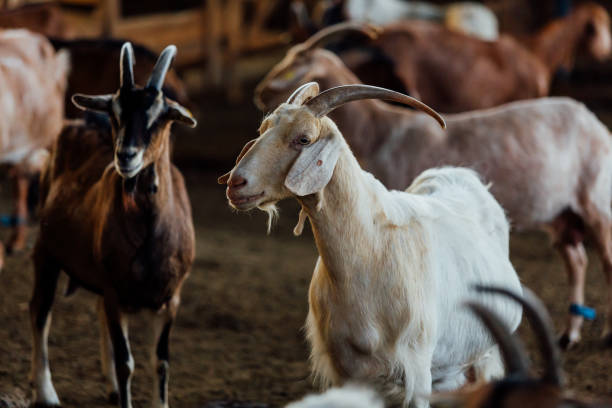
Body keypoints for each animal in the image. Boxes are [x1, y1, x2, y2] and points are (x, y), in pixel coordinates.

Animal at [30, 42, 196, 408]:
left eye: (161, 116)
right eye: (115, 114)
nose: (126, 156)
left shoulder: (172, 298)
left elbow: (161, 362)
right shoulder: (114, 291)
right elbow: (126, 362)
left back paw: (109, 388)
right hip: (46, 251)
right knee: (40, 312)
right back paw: (46, 392)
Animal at [220, 82, 520, 404]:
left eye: (304, 138)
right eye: (263, 129)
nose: (236, 183)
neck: (369, 252)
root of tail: (458, 172)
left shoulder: (417, 368)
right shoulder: (346, 369)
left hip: (484, 356)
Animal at [255, 25, 612, 350]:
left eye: (293, 67)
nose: (259, 92)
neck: (381, 132)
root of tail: (594, 122)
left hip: (597, 204)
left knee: (605, 260)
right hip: (561, 213)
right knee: (577, 260)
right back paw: (569, 334)